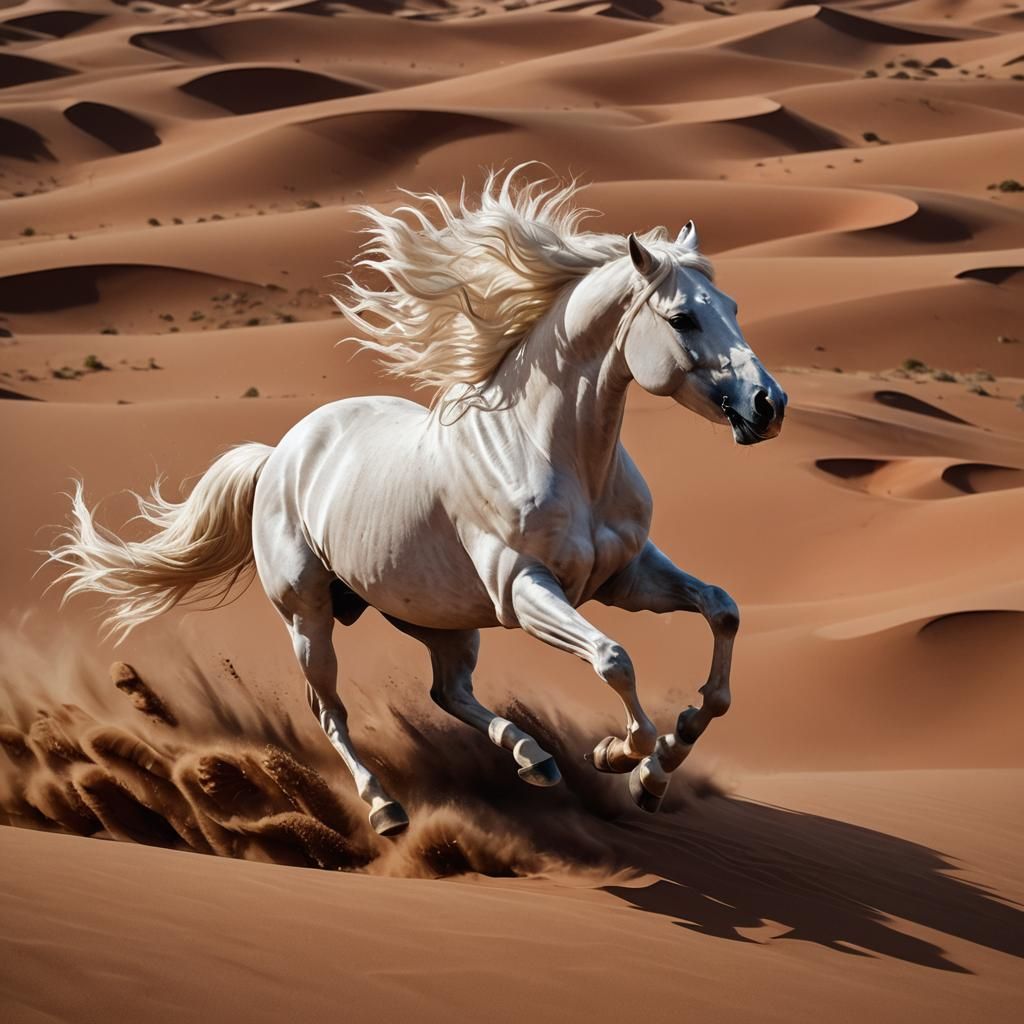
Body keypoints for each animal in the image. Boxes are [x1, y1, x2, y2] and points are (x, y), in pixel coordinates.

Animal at [51, 170, 786, 838]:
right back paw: (386, 807)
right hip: (308, 616)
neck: (557, 453)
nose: (768, 404)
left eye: (733, 306)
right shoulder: (525, 590)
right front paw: (622, 757)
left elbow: (722, 612)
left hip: (434, 615)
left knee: (449, 690)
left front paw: (664, 760)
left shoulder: (624, 577)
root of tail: (278, 456)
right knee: (331, 711)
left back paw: (533, 757)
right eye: (683, 317)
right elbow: (614, 659)